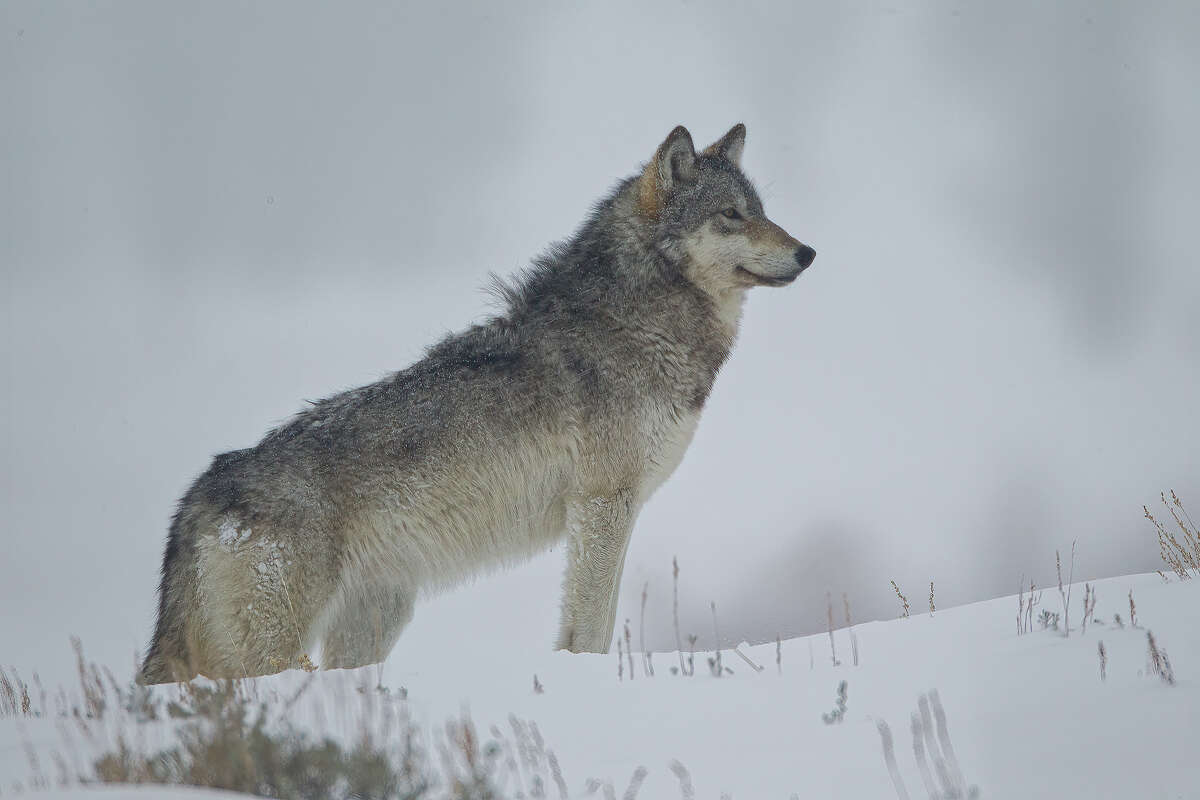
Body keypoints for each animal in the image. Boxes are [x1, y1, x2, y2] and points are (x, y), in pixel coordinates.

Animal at [138, 123, 816, 681]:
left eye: (761, 212)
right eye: (731, 215)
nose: (808, 252)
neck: (635, 324)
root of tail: (199, 494)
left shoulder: (611, 508)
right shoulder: (603, 504)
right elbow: (590, 627)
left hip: (373, 622)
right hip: (277, 648)